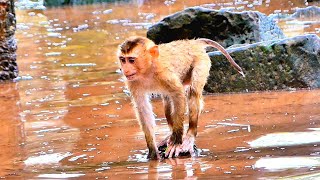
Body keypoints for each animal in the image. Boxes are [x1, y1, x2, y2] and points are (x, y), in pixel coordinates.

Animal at [117, 36, 245, 159]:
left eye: (131, 60)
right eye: (123, 60)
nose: (125, 69)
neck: (148, 69)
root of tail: (192, 42)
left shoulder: (165, 73)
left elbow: (178, 94)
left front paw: (176, 142)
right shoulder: (132, 82)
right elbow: (142, 107)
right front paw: (152, 150)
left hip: (201, 61)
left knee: (193, 92)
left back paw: (189, 136)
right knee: (167, 103)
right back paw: (170, 135)